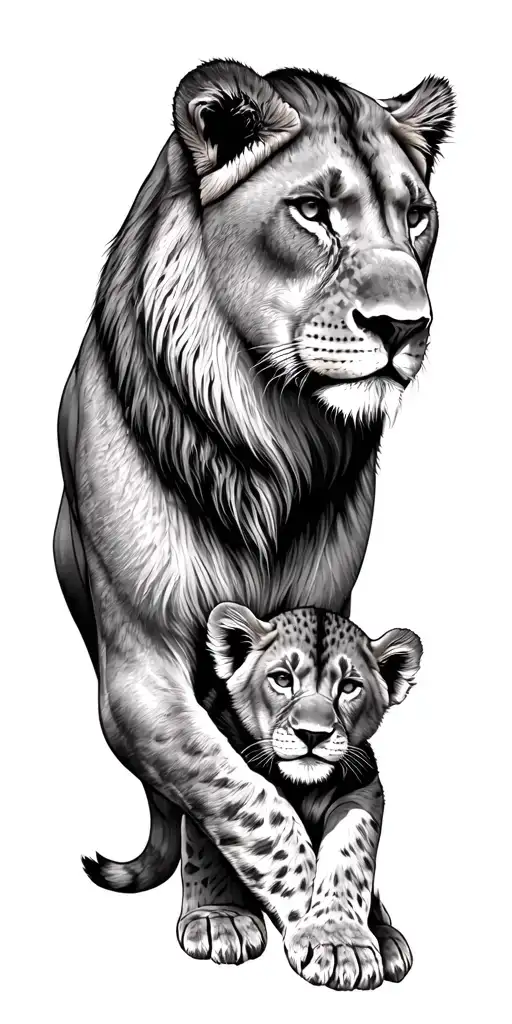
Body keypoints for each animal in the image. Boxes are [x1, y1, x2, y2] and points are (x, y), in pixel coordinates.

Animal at [54, 59, 454, 985]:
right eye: (311, 210)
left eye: (417, 214)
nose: (404, 328)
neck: (275, 432)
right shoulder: (140, 673)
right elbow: (243, 797)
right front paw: (310, 925)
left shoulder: (333, 617)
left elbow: (348, 804)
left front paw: (366, 924)